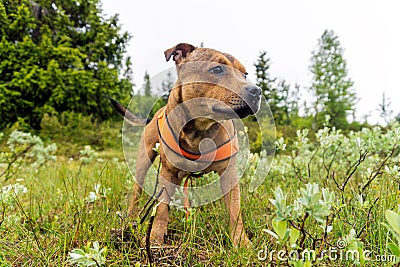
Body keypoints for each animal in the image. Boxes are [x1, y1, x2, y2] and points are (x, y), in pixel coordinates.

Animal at [112, 43, 262, 248]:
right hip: (144, 160)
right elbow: (161, 209)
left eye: (245, 74)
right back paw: (130, 218)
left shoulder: (229, 173)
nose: (257, 91)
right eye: (217, 69)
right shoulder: (167, 171)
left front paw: (241, 242)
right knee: (136, 193)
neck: (200, 129)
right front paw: (156, 239)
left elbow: (234, 210)